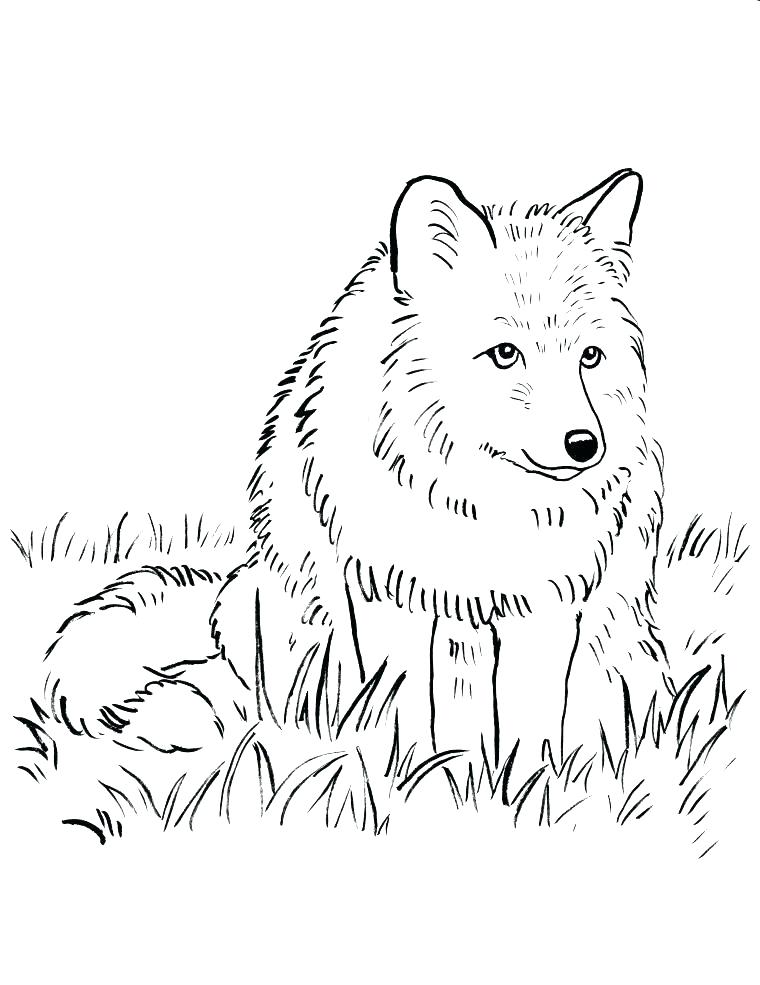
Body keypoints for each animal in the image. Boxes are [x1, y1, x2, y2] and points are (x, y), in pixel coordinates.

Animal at [37, 169, 670, 803]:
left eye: (590, 356)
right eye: (505, 354)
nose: (584, 445)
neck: (475, 505)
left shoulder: (547, 605)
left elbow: (531, 724)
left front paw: (528, 791)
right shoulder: (387, 593)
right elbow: (404, 711)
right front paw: (411, 785)